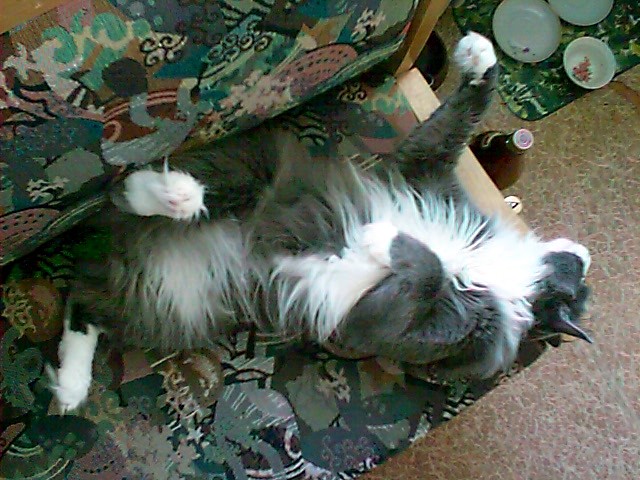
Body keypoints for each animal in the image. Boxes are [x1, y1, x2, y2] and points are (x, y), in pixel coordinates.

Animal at [48, 32, 592, 412]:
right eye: (579, 279)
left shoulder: (402, 326)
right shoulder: (423, 171)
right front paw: (479, 56)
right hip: (256, 167)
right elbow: (454, 122)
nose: (585, 254)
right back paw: (171, 195)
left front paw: (380, 239)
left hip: (173, 309)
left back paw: (71, 388)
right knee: (126, 199)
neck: (496, 272)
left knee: (83, 301)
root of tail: (121, 251)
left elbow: (429, 268)